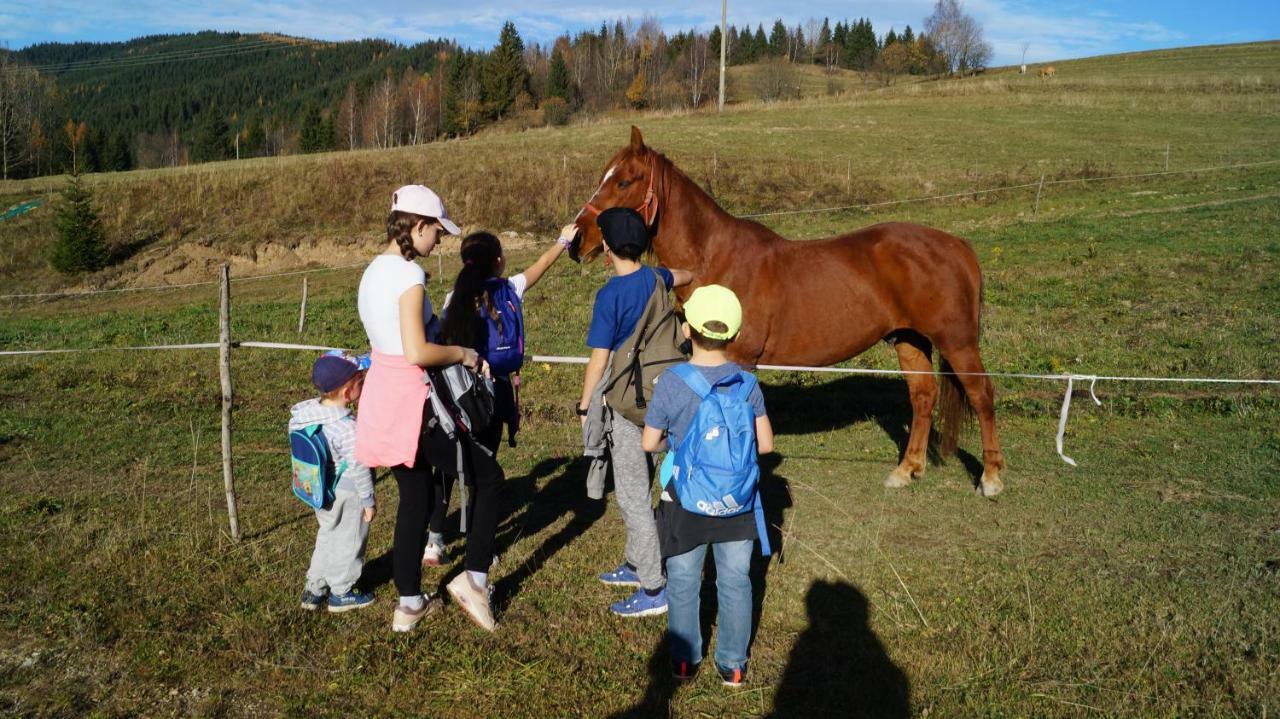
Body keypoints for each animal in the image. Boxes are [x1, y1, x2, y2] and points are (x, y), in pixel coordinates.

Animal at [576, 127, 1003, 491]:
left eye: (623, 181)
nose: (578, 239)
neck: (716, 259)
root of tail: (957, 245)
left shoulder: (741, 360)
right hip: (909, 339)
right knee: (923, 396)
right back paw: (907, 469)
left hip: (956, 341)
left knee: (981, 394)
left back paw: (991, 477)